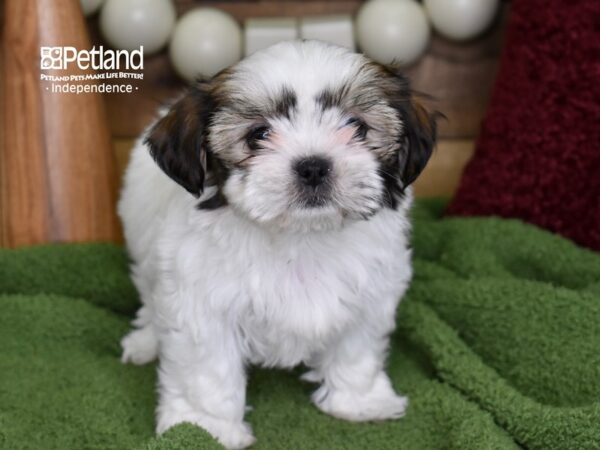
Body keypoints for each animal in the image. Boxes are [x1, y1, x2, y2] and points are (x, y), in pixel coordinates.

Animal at [117, 40, 436, 448]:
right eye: (258, 135)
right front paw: (205, 426)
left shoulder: (371, 292)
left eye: (357, 127)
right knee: (149, 296)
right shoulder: (203, 303)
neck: (301, 236)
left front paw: (358, 401)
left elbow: (356, 348)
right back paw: (146, 342)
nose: (313, 166)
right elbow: (208, 371)